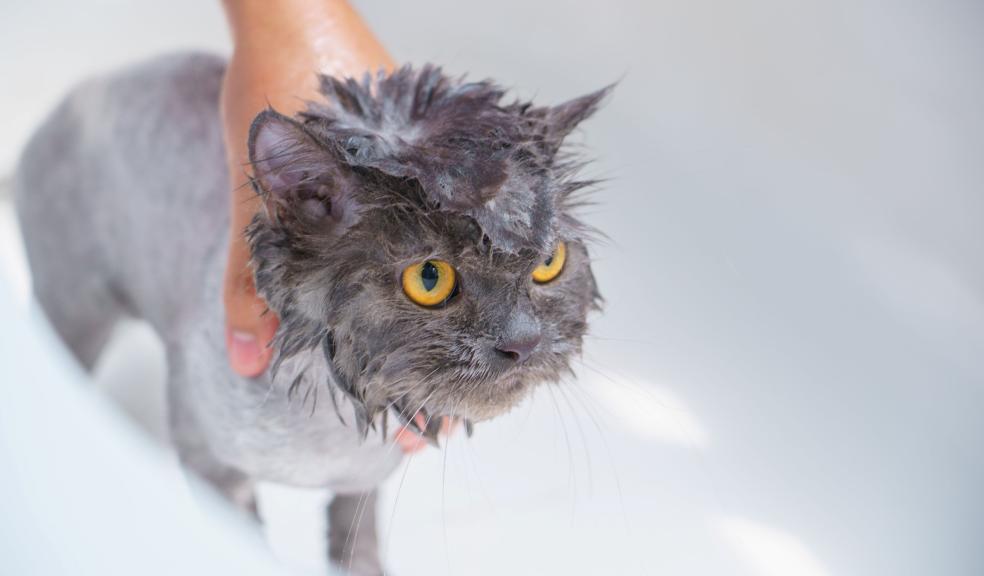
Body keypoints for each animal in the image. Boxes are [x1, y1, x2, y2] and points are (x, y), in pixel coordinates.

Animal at [15, 53, 608, 572]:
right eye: (430, 279)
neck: (327, 430)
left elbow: (356, 543)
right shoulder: (206, 458)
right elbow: (245, 541)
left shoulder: (363, 482)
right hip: (75, 310)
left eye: (549, 262)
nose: (524, 342)